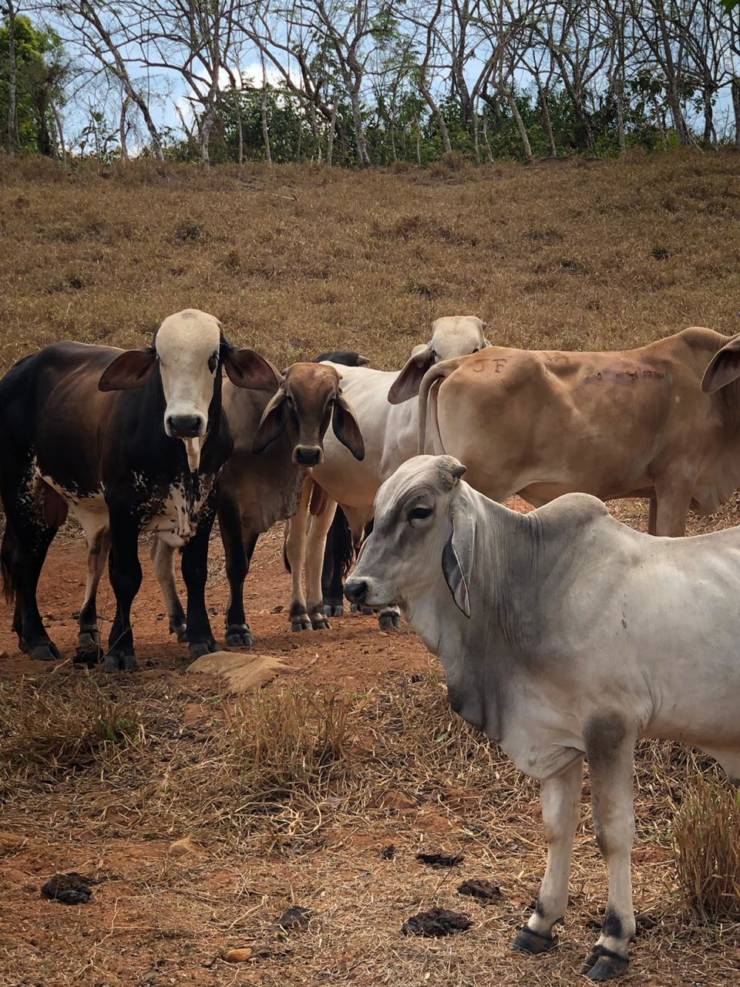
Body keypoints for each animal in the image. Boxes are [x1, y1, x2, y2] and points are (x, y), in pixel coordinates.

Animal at [0, 308, 276, 672]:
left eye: (213, 358)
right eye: (160, 358)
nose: (184, 422)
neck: (182, 453)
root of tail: (19, 368)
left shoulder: (206, 502)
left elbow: (194, 571)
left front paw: (201, 637)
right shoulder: (122, 504)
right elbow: (126, 575)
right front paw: (120, 649)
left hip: (48, 502)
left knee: (23, 556)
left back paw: (25, 633)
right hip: (22, 490)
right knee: (23, 560)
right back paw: (37, 639)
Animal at [346, 460, 740, 984]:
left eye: (420, 510)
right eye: (376, 508)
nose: (354, 587)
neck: (530, 586)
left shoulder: (610, 729)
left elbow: (613, 832)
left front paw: (613, 940)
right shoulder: (556, 739)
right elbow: (557, 826)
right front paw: (540, 921)